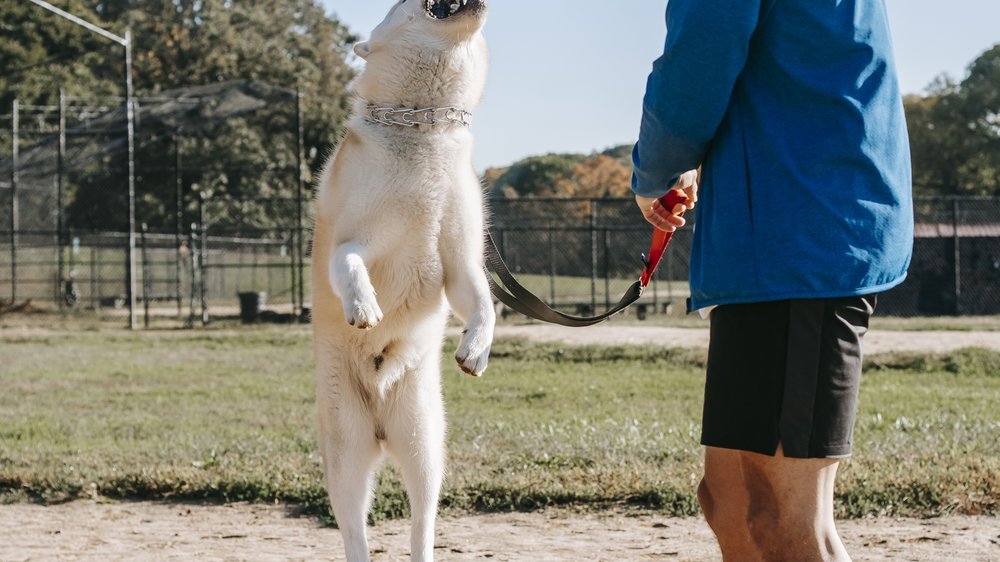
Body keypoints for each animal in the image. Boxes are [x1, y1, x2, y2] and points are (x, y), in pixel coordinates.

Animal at [310, 2, 494, 556]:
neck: (423, 129)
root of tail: (379, 425)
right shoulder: (352, 241)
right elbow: (349, 264)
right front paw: (364, 307)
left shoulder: (461, 264)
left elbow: (484, 304)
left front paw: (476, 348)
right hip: (347, 456)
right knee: (354, 531)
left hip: (424, 446)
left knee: (422, 521)